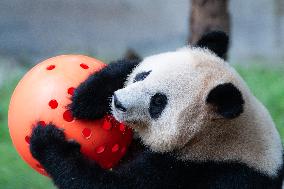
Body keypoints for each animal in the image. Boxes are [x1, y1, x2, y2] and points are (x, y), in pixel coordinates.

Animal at [30, 31, 282, 189]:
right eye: (143, 75)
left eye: (158, 103)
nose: (118, 103)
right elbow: (125, 65)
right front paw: (84, 98)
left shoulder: (199, 170)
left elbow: (112, 185)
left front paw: (46, 140)